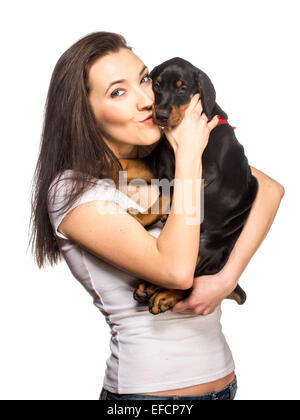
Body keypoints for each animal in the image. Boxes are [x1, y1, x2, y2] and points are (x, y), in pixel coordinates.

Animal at [119, 58, 258, 316]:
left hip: (204, 247)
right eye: (156, 86)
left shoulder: (201, 173)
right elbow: (135, 167)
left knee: (191, 279)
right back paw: (149, 286)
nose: (161, 115)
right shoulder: (161, 164)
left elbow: (168, 199)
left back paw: (162, 294)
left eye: (182, 88)